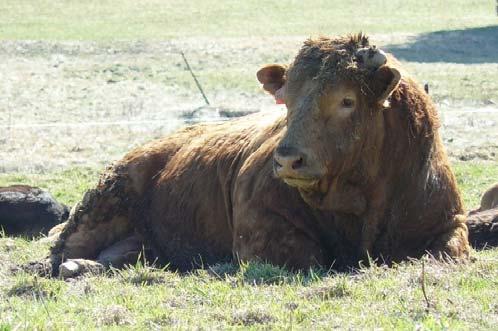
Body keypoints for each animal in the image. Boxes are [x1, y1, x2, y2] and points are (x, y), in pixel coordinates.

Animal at [40, 34, 496, 278]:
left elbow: (444, 251)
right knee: (60, 251)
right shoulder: (262, 230)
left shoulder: (449, 225)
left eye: (346, 100)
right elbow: (309, 257)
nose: (288, 160)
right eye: (287, 99)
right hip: (98, 212)